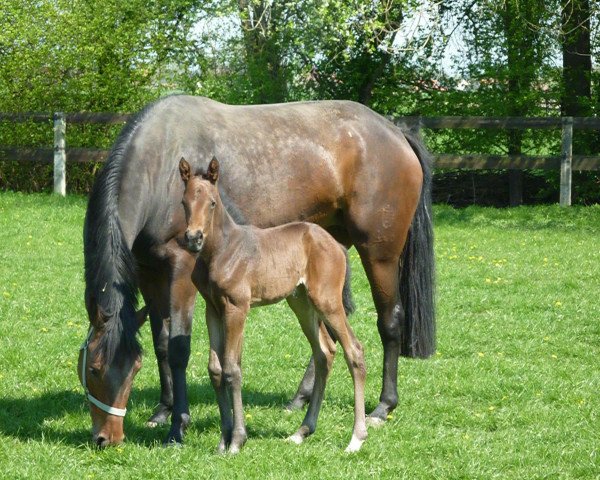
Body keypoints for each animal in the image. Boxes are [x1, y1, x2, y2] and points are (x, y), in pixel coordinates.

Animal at [178, 158, 366, 454]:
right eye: (184, 202)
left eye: (212, 203)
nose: (194, 238)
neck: (220, 251)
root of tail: (337, 245)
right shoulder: (212, 309)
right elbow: (216, 369)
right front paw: (223, 440)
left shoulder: (237, 307)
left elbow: (232, 369)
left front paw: (237, 440)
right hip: (301, 303)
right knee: (325, 352)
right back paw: (302, 431)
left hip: (327, 301)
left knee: (354, 351)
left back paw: (356, 438)